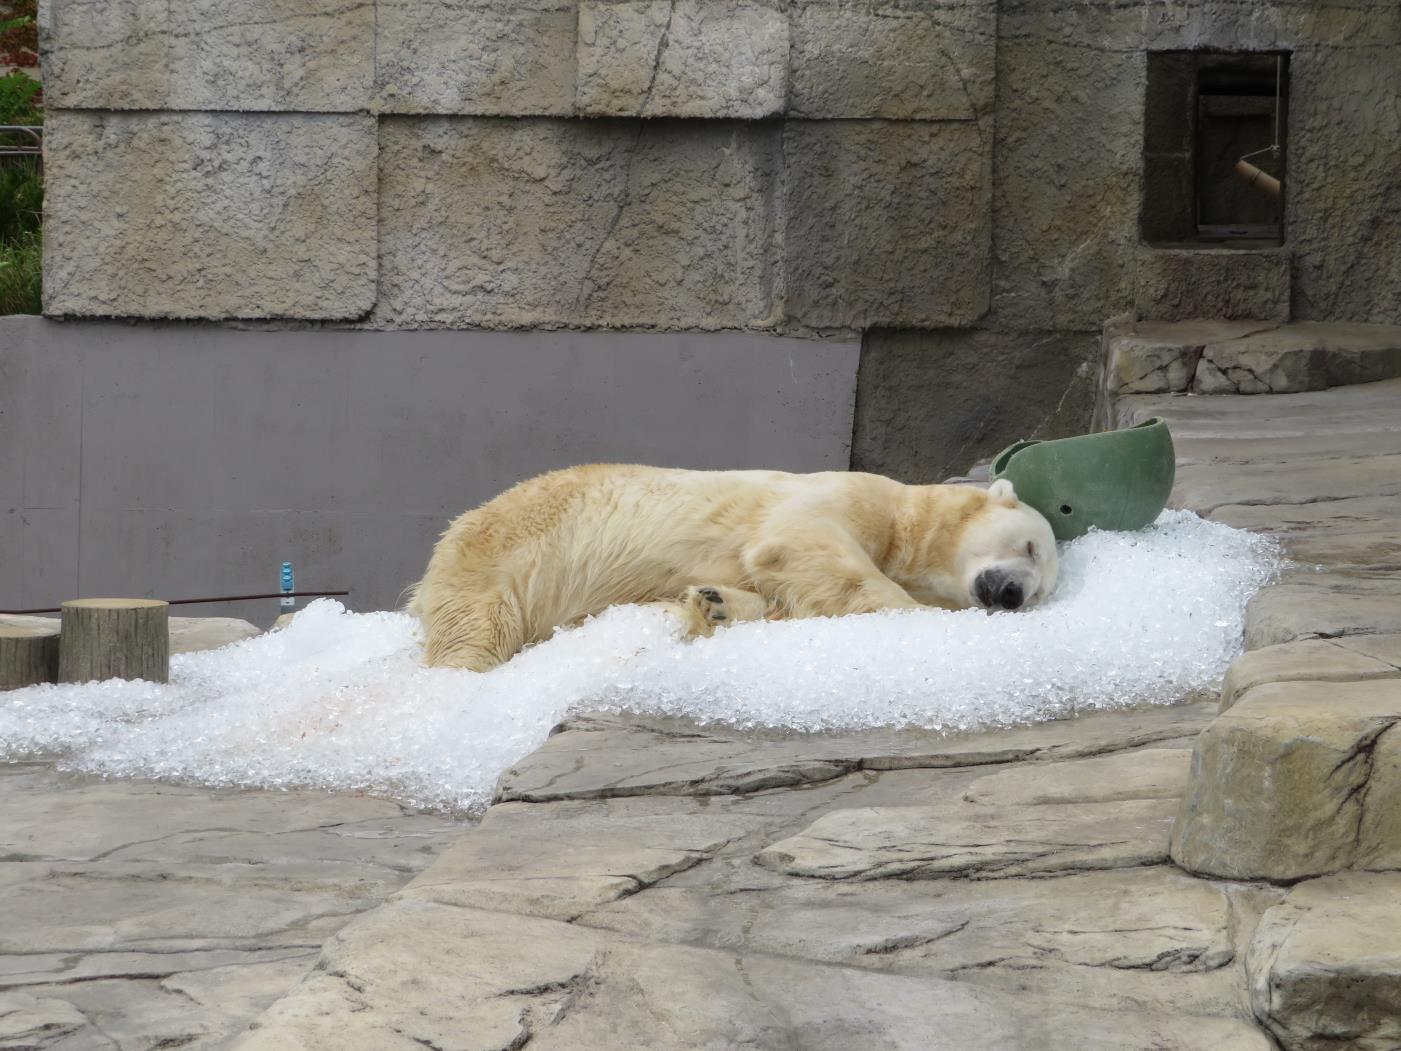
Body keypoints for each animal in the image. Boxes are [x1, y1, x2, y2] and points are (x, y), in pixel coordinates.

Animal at [409, 468, 1053, 675]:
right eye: (1030, 546)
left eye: (1042, 592)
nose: (1011, 593)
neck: (909, 526)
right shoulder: (854, 497)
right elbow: (800, 545)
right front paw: (915, 615)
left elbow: (773, 596)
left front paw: (712, 603)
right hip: (503, 555)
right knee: (475, 630)